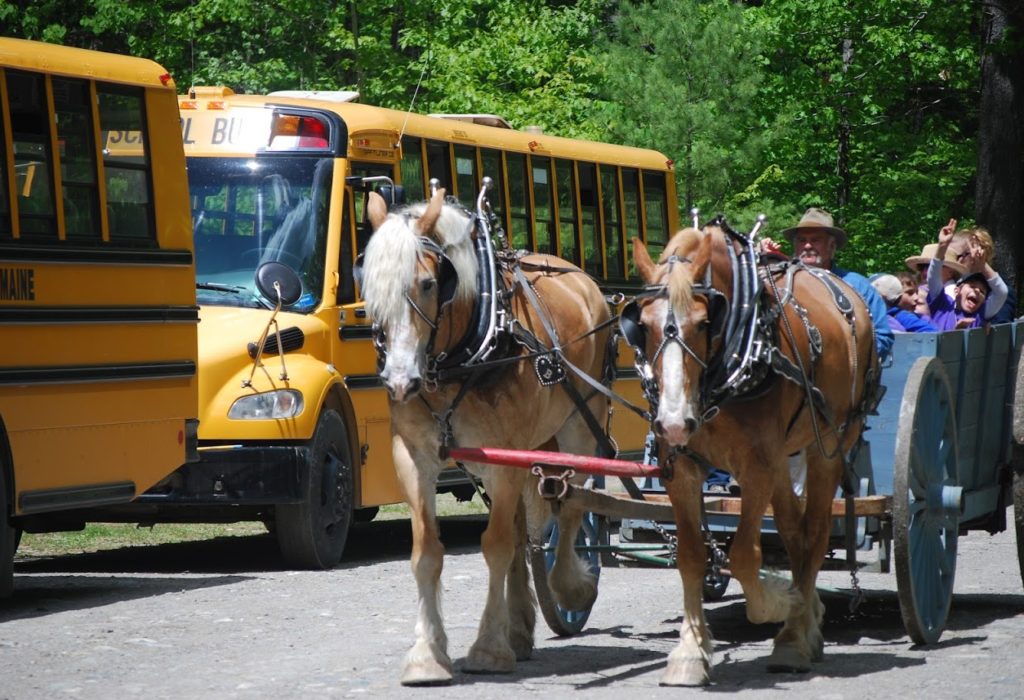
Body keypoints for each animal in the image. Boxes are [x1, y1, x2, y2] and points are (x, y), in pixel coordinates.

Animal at [622, 223, 880, 683]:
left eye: (704, 323)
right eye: (644, 326)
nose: (674, 420)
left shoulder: (757, 466)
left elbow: (744, 556)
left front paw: (781, 602)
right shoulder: (682, 467)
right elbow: (691, 556)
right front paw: (691, 652)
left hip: (829, 447)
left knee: (815, 534)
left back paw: (794, 637)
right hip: (783, 460)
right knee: (795, 533)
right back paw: (808, 620)